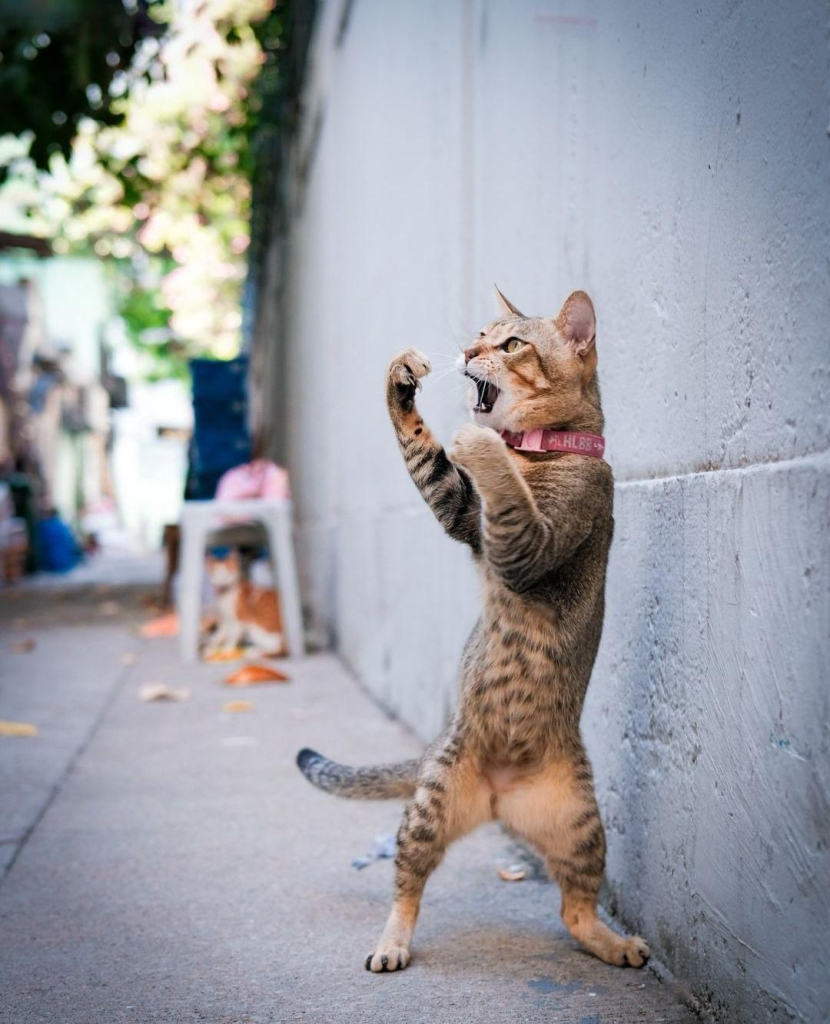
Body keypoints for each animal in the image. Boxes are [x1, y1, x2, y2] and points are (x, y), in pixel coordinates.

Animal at [294, 284, 650, 970]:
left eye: (509, 343)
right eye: (481, 335)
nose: (466, 351)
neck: (537, 448)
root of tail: (497, 797)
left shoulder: (526, 547)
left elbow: (500, 489)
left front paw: (480, 445)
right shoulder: (465, 515)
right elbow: (425, 453)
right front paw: (401, 379)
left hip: (580, 827)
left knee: (574, 910)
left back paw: (613, 942)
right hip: (432, 807)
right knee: (408, 886)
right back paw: (392, 941)